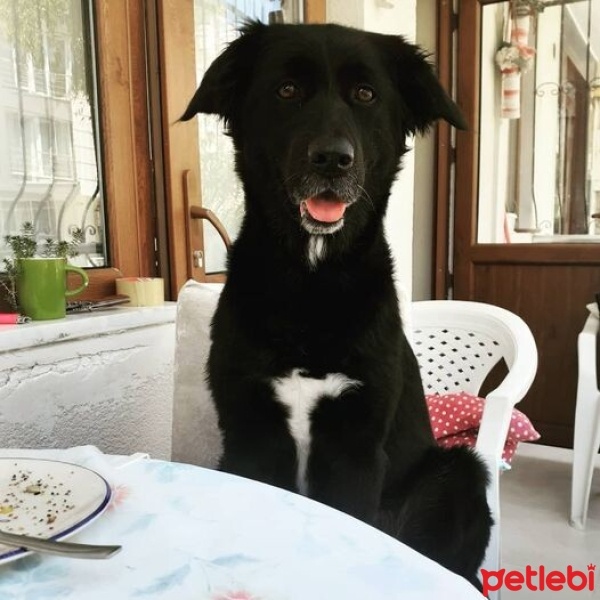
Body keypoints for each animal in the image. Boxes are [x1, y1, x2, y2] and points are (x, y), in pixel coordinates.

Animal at [183, 21, 492, 588]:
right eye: (287, 90)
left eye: (366, 95)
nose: (332, 159)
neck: (311, 283)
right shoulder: (250, 435)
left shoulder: (356, 446)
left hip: (458, 472)